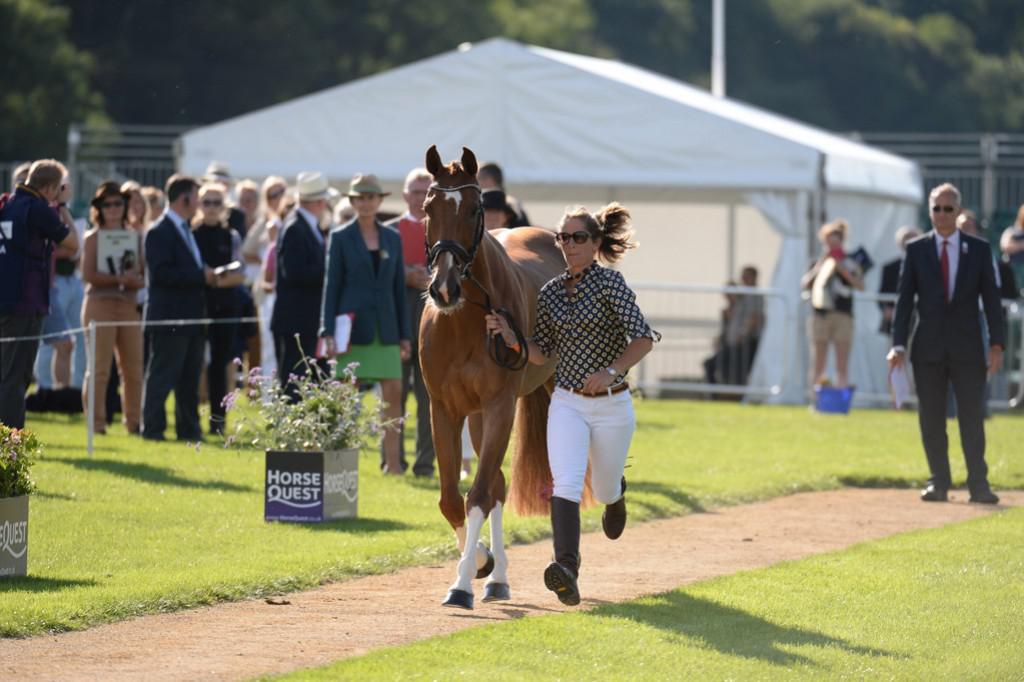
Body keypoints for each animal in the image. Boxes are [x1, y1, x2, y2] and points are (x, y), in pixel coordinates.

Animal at [419, 145, 564, 609]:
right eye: (428, 207)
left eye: (474, 208)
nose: (444, 288)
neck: (464, 321)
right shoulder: (444, 409)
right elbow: (452, 499)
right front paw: (479, 561)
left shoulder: (501, 405)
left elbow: (478, 494)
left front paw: (463, 583)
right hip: (478, 415)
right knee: (497, 485)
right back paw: (496, 576)